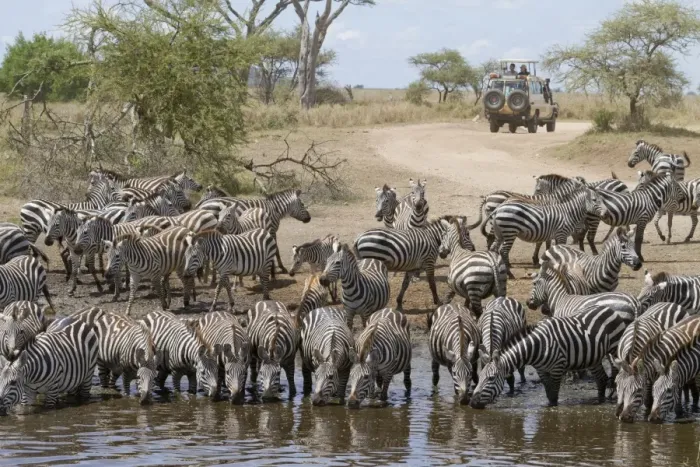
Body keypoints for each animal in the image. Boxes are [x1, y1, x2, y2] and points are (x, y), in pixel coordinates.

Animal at [470, 305, 634, 409]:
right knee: (601, 378)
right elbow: (549, 393)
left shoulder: (557, 368)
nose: (473, 403)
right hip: (593, 356)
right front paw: (548, 405)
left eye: (491, 378)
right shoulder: (542, 370)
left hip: (614, 347)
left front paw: (552, 410)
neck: (536, 348)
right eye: (480, 376)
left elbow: (554, 394)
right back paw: (599, 401)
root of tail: (608, 309)